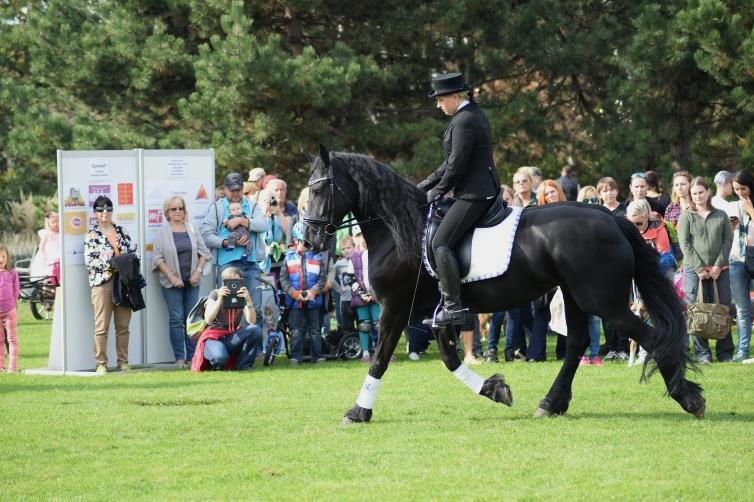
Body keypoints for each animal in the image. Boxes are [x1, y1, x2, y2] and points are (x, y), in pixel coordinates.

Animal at [302, 145, 704, 424]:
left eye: (321, 190)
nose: (308, 240)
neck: (400, 230)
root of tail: (608, 217)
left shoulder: (396, 307)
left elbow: (380, 359)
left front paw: (357, 412)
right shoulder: (438, 313)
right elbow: (450, 359)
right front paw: (495, 389)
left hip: (603, 302)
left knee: (649, 337)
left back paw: (689, 398)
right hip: (574, 295)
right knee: (576, 343)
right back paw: (551, 403)